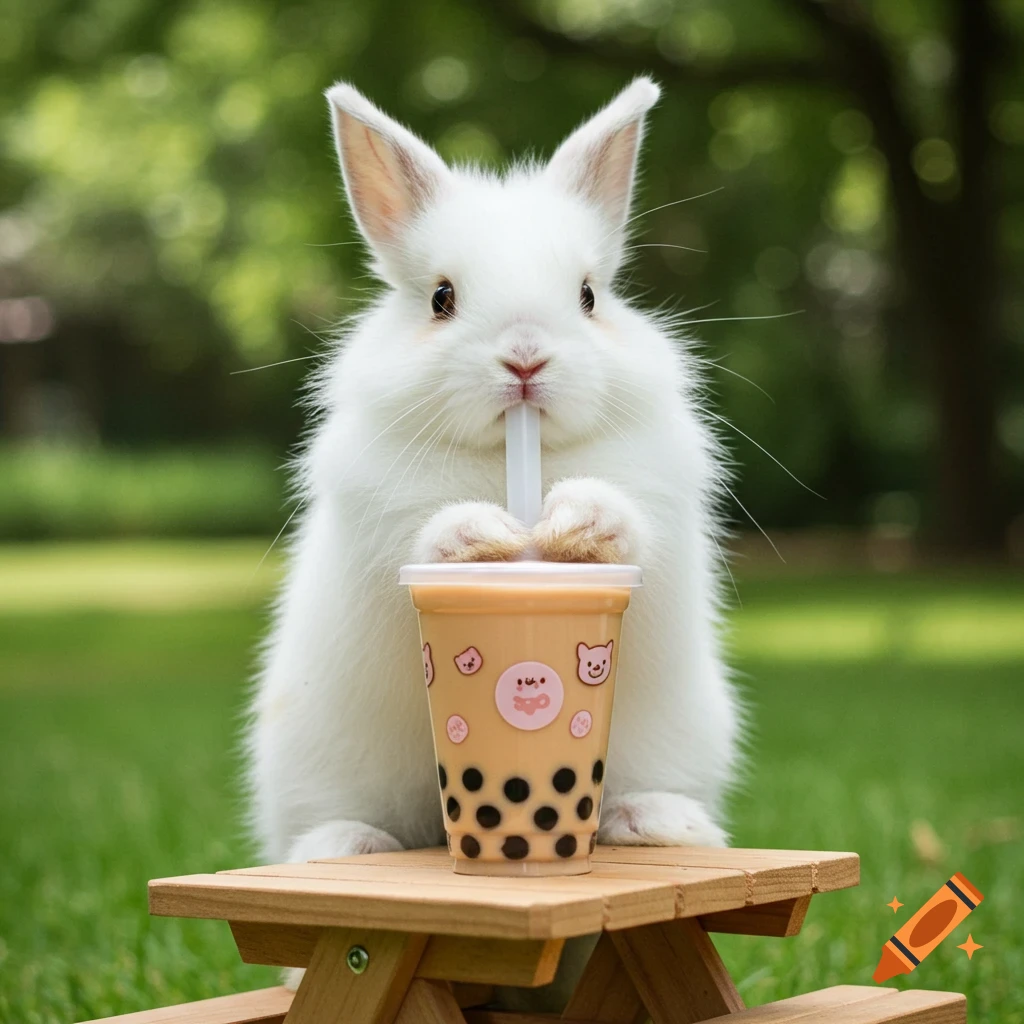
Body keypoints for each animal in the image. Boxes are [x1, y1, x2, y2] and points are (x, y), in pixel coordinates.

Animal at [246, 77, 741, 894]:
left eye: (589, 296)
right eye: (441, 298)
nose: (525, 359)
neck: (511, 458)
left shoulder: (662, 492)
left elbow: (631, 518)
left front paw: (575, 525)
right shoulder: (380, 513)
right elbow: (424, 533)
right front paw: (484, 537)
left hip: (684, 733)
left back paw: (661, 824)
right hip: (313, 759)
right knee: (327, 823)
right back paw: (345, 846)